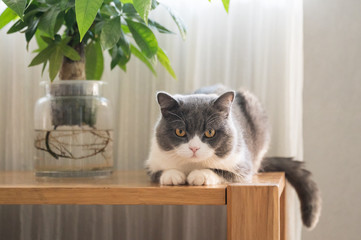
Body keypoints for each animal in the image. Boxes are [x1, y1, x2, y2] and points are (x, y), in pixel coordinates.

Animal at [146, 84, 320, 229]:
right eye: (180, 131)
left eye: (210, 132)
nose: (194, 148)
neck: (192, 165)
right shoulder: (153, 160)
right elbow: (157, 172)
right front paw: (172, 175)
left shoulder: (243, 164)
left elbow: (222, 171)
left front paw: (200, 175)